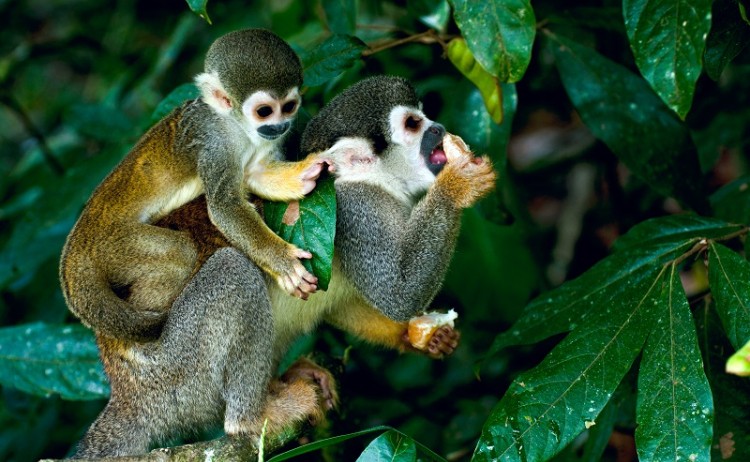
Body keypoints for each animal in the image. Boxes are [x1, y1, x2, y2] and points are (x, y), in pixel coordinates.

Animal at [59, 29, 327, 346]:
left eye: (288, 107)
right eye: (264, 111)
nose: (279, 127)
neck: (235, 125)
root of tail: (77, 245)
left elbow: (254, 174)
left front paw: (305, 173)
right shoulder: (213, 144)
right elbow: (225, 207)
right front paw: (283, 261)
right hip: (113, 246)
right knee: (181, 252)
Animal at [73, 75, 496, 457]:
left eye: (423, 116)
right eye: (412, 124)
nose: (438, 128)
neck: (376, 181)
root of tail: (127, 392)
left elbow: (346, 303)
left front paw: (417, 335)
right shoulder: (357, 211)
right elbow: (397, 293)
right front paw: (458, 183)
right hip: (176, 373)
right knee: (233, 271)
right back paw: (250, 418)